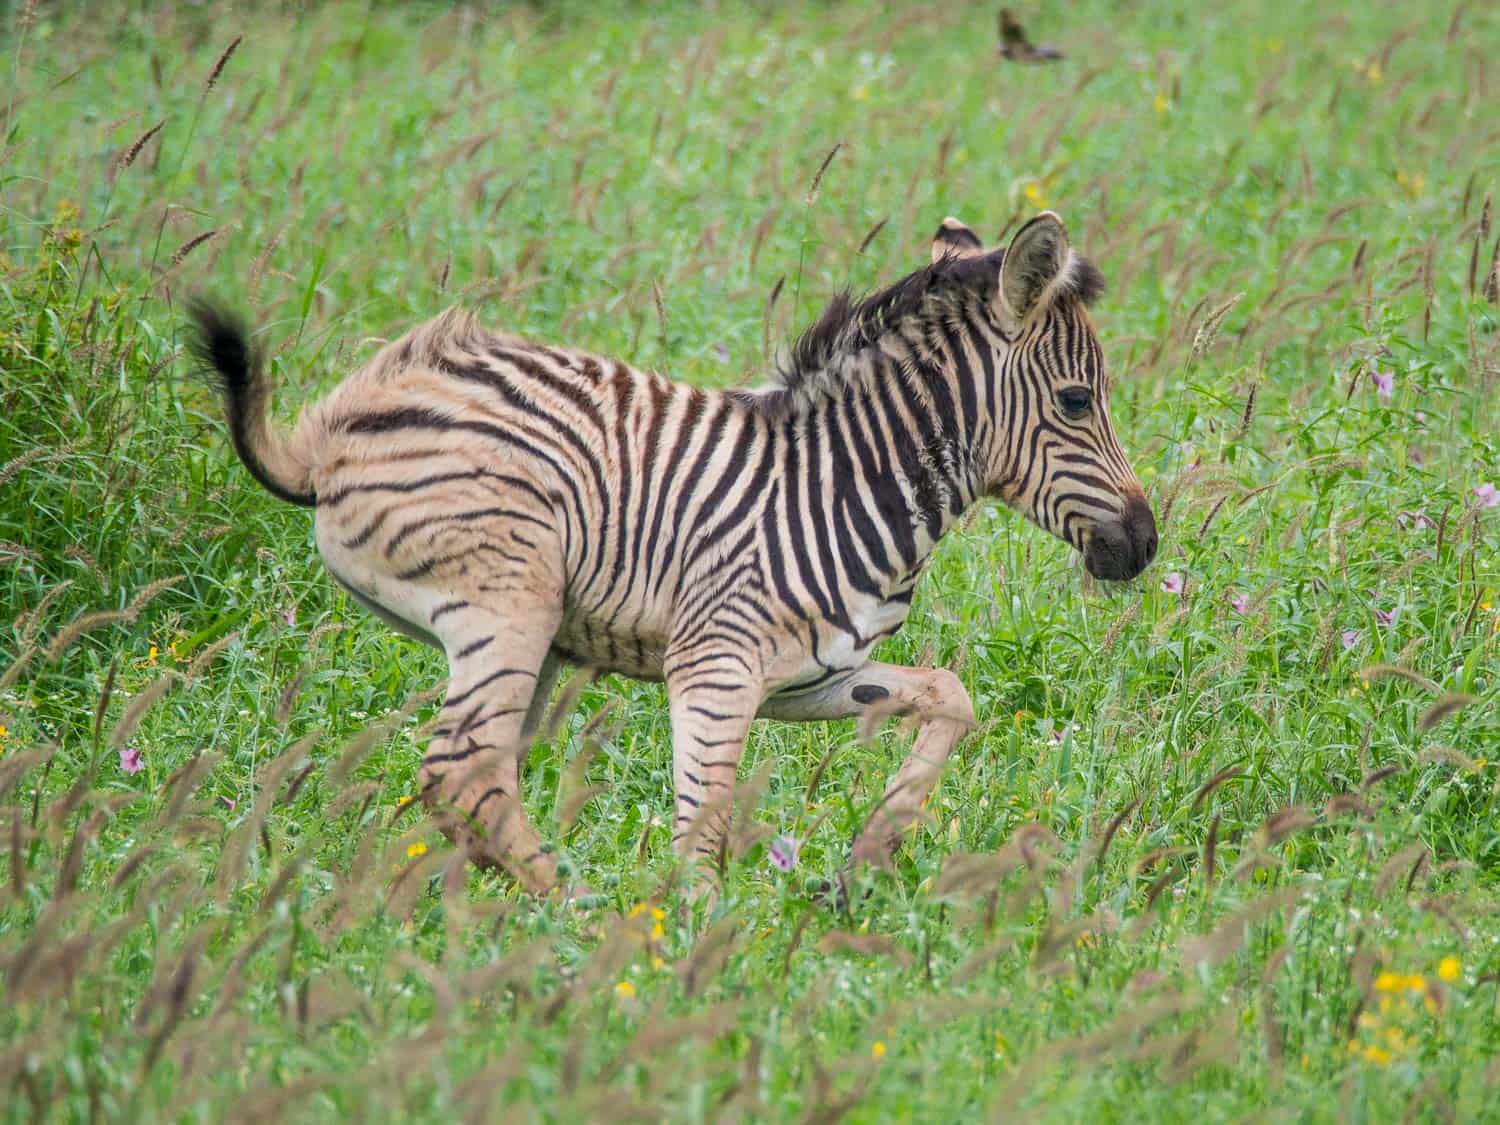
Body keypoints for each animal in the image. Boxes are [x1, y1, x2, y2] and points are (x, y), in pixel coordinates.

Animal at [193, 211, 1158, 900]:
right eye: (1079, 401)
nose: (1145, 545)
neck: (844, 480)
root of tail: (332, 434)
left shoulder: (809, 676)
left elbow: (951, 696)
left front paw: (866, 857)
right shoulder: (716, 663)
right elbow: (703, 833)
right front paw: (694, 958)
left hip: (518, 637)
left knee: (471, 782)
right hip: (511, 602)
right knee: (464, 775)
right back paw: (575, 916)